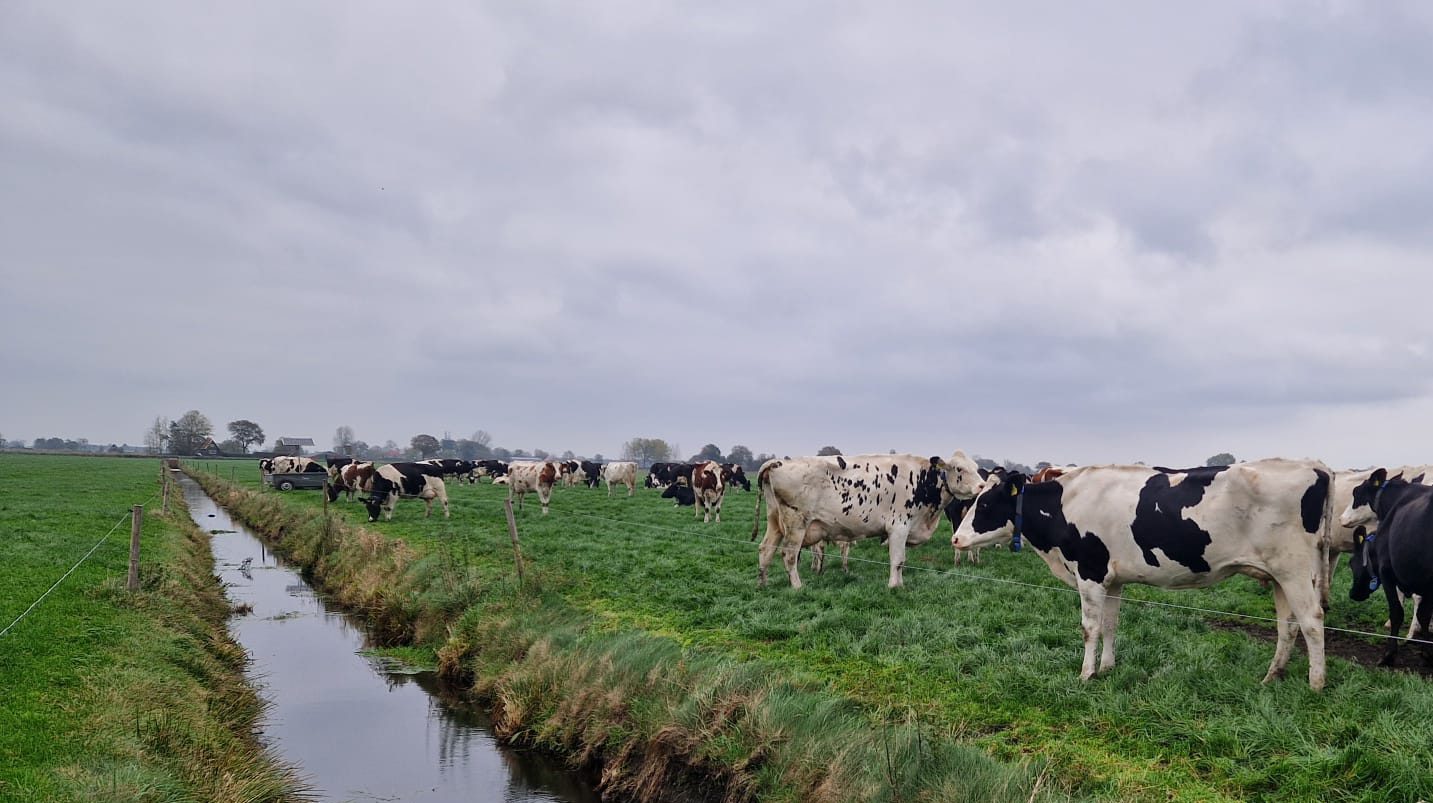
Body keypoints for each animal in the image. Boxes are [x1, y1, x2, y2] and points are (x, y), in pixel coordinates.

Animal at [750, 453, 985, 590]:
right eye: (959, 469)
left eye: (976, 467)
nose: (982, 486)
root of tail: (778, 462)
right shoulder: (899, 527)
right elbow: (897, 560)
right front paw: (894, 587)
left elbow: (901, 561)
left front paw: (899, 584)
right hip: (796, 524)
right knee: (788, 555)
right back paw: (797, 586)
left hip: (775, 521)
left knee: (765, 549)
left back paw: (763, 583)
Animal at [951, 458, 1329, 691]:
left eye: (985, 504)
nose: (956, 538)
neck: (1065, 504)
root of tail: (1314, 465)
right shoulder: (1112, 579)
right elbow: (1110, 625)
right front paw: (1107, 668)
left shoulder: (1089, 573)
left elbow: (1089, 628)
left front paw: (1086, 673)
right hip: (1279, 577)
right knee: (1287, 626)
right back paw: (1272, 676)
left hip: (1294, 571)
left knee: (1312, 620)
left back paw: (1316, 684)